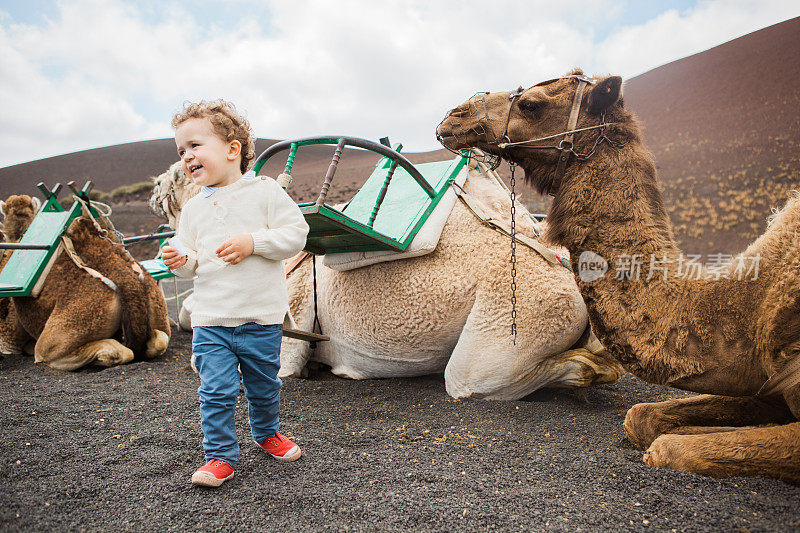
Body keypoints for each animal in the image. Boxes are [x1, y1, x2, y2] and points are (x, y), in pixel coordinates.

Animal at [438, 68, 800, 484]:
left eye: (531, 104)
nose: (454, 117)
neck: (750, 309)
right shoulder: (761, 386)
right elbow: (640, 418)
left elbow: (667, 447)